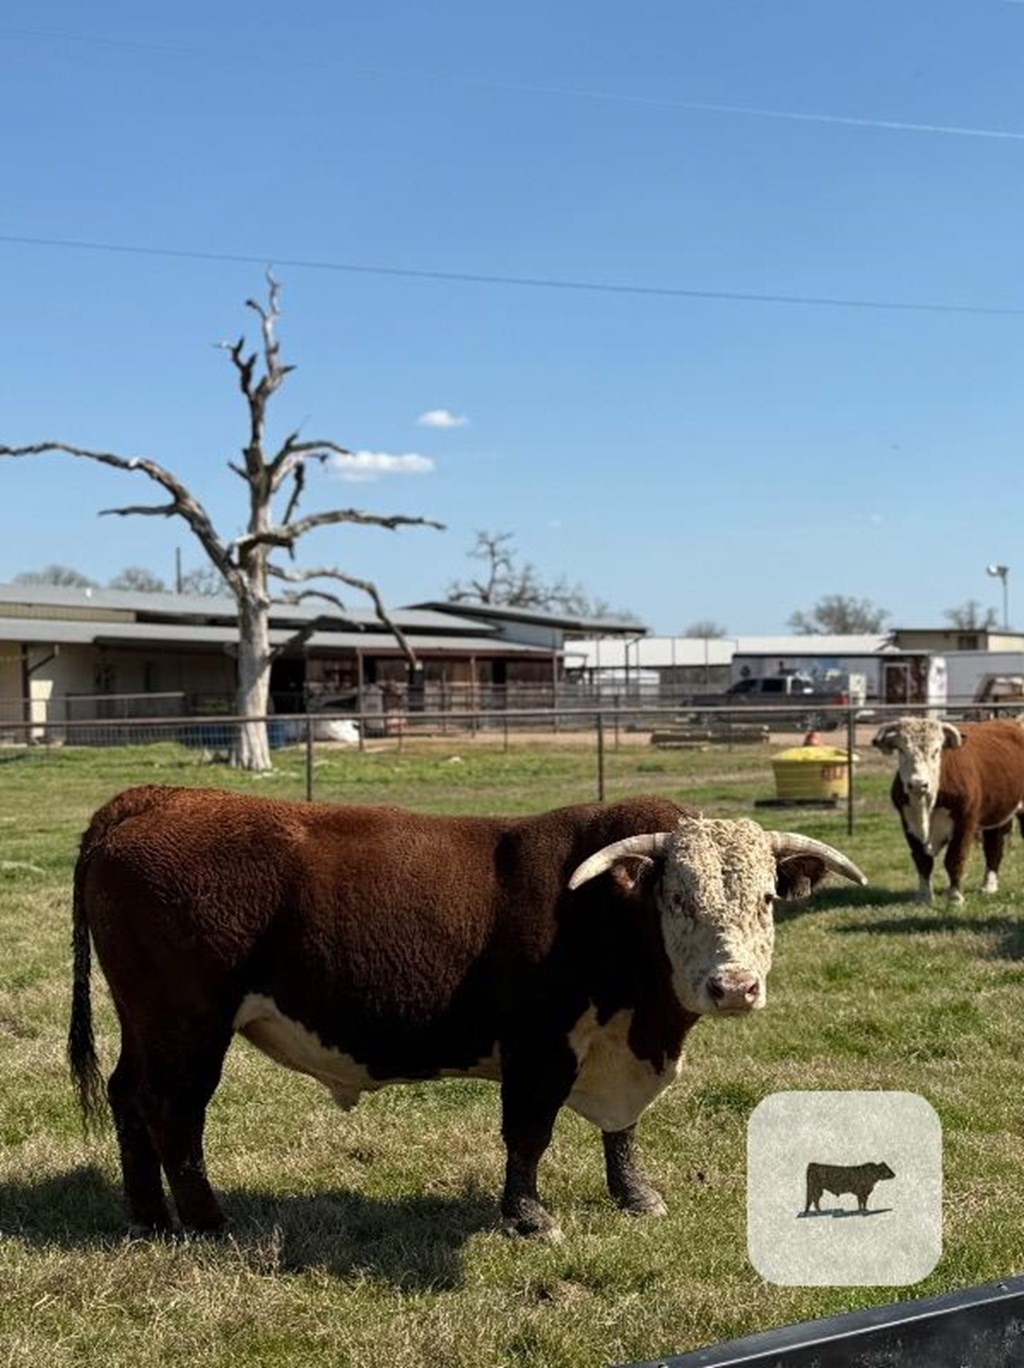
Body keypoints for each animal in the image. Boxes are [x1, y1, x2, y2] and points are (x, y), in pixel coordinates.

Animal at [65, 782, 864, 1242]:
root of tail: (158, 798)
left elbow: (623, 1130)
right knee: (173, 1113)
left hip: (146, 1022)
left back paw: (147, 1215)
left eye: (766, 897)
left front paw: (634, 1194)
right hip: (187, 1025)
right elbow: (529, 1135)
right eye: (676, 897)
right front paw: (528, 1217)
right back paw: (206, 1222)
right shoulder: (539, 1047)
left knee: (127, 1096)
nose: (734, 986)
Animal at [869, 722, 1022, 902]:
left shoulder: (966, 822)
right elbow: (922, 860)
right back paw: (988, 886)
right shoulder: (908, 823)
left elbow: (954, 857)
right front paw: (924, 896)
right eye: (901, 749)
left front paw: (955, 896)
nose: (918, 784)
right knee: (994, 848)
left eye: (936, 751)